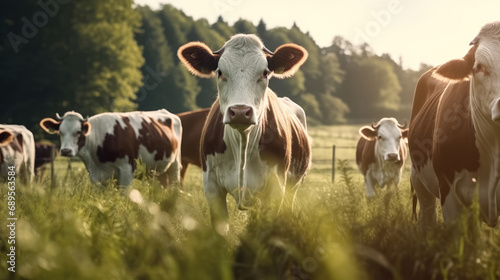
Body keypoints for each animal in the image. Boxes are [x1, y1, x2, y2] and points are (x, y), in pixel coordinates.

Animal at [40, 110, 182, 188]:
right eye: (60, 132)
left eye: (78, 132)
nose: (66, 151)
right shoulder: (96, 176)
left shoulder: (127, 170)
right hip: (157, 171)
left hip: (174, 166)